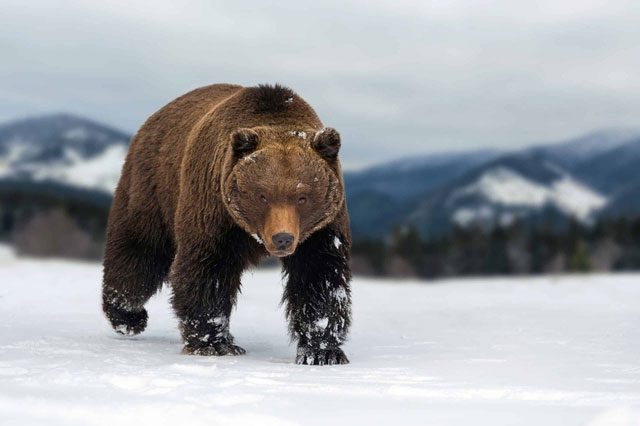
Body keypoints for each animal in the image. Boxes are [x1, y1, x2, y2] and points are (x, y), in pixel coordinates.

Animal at [101, 84, 350, 366]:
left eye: (303, 197)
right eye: (262, 195)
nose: (282, 238)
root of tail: (154, 118)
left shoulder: (321, 228)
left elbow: (320, 278)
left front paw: (322, 351)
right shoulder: (215, 209)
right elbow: (208, 269)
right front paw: (214, 343)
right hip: (153, 188)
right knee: (139, 254)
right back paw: (128, 316)